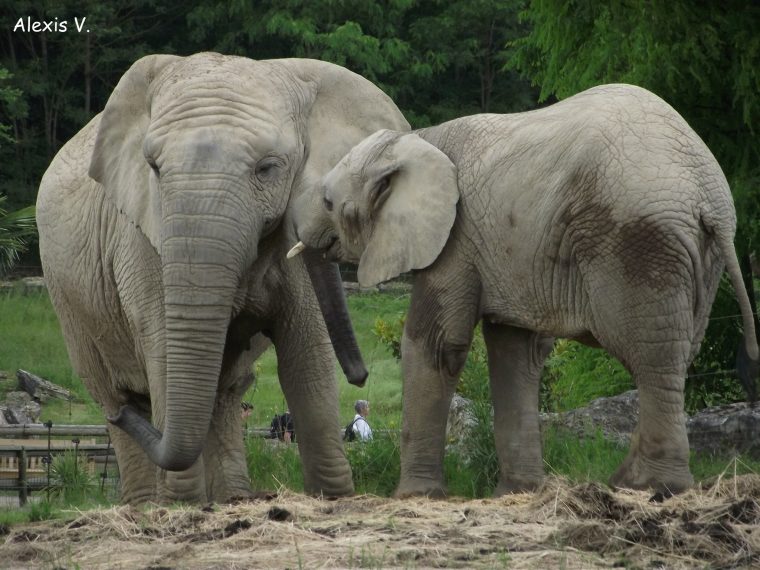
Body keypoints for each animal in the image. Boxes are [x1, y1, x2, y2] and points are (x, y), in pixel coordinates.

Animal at [37, 51, 410, 500]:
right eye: (153, 168)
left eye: (267, 169)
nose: (360, 375)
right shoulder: (140, 235)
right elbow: (165, 351)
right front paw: (181, 506)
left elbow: (306, 358)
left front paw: (334, 498)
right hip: (68, 301)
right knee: (118, 388)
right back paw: (149, 498)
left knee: (225, 391)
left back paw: (230, 498)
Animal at [292, 82, 760, 494]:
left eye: (329, 202)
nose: (360, 382)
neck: (414, 140)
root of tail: (711, 198)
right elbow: (515, 351)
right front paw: (517, 492)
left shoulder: (455, 238)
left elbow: (439, 345)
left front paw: (415, 496)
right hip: (693, 256)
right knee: (673, 355)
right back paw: (636, 482)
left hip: (639, 243)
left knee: (650, 357)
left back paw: (648, 486)